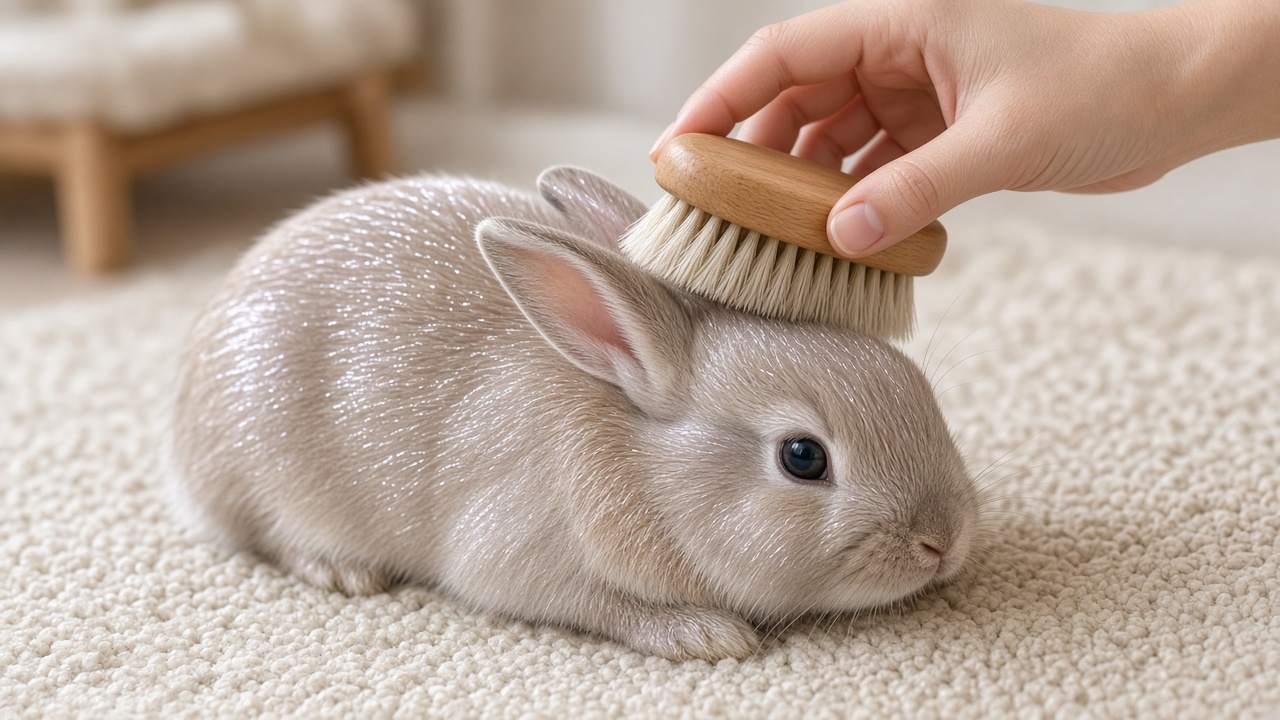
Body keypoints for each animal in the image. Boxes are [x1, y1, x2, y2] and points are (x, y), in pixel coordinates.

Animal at [169, 166, 982, 662]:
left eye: (916, 383)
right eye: (803, 457)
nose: (944, 542)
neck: (645, 465)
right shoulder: (524, 560)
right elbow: (610, 609)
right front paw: (707, 636)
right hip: (274, 480)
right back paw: (343, 571)